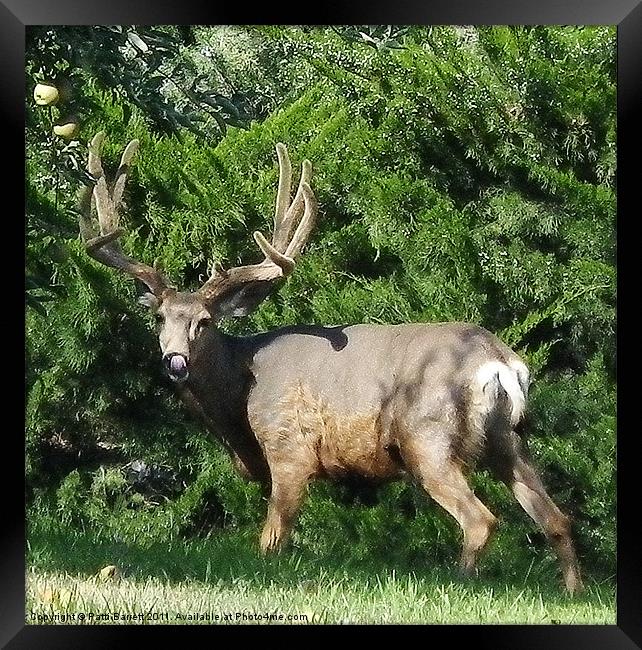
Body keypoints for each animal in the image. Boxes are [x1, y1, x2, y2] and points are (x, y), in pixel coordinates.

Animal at [77, 132, 584, 592]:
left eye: (204, 321)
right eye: (159, 317)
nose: (175, 361)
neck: (239, 390)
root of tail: (499, 361)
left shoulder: (289, 448)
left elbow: (271, 540)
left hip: (428, 437)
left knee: (481, 519)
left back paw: (461, 583)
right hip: (508, 438)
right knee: (557, 519)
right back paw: (573, 591)